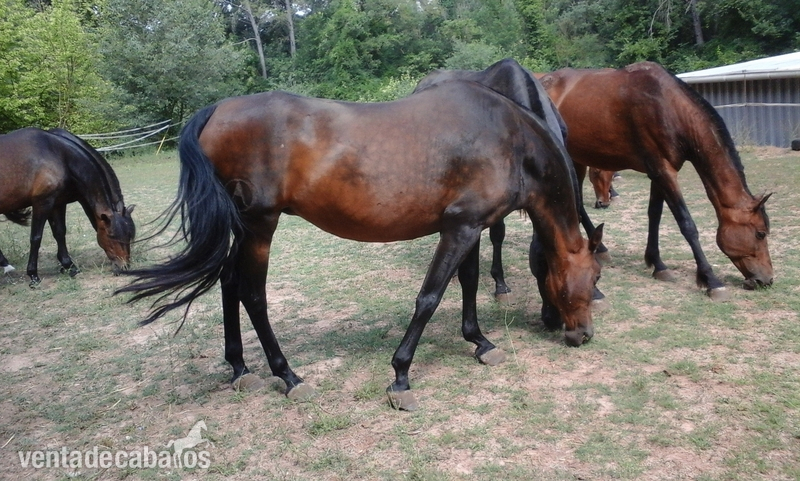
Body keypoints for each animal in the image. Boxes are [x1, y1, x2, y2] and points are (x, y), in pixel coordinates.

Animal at [0, 128, 136, 286]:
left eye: (129, 236)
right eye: (111, 235)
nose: (124, 267)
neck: (56, 154)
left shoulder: (57, 203)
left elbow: (60, 233)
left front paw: (69, 266)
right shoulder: (42, 203)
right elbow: (36, 238)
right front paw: (33, 275)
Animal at [539, 62, 773, 298]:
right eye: (760, 233)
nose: (767, 280)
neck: (669, 107)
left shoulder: (658, 173)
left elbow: (655, 215)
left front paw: (658, 264)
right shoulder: (664, 172)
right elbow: (687, 224)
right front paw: (711, 280)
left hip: (577, 158)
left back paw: (600, 249)